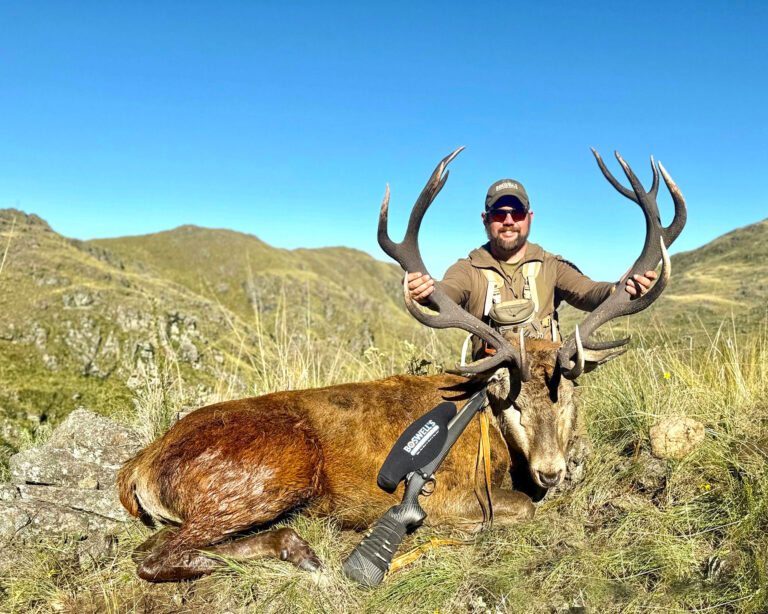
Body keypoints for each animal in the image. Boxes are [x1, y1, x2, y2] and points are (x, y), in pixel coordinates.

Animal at [118, 147, 686, 582]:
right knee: (151, 554)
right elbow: (516, 509)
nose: (550, 471)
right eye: (514, 404)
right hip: (267, 473)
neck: (490, 431)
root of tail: (139, 467)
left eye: (568, 395)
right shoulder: (457, 494)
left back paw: (297, 548)